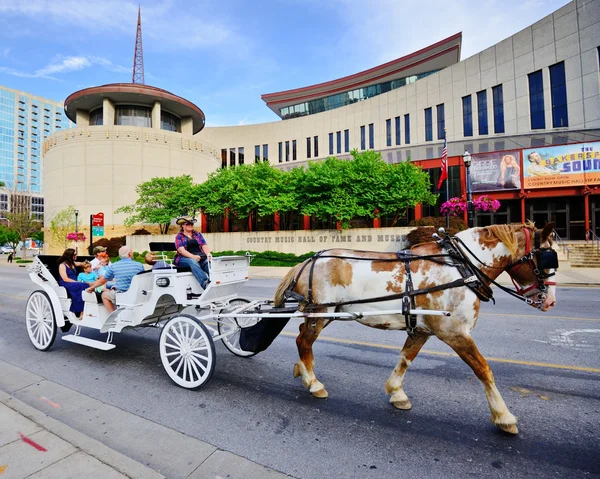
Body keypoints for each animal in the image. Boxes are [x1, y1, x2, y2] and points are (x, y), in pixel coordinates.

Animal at [274, 223, 556, 436]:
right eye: (546, 259)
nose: (550, 302)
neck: (461, 268)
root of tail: (305, 262)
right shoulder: (455, 333)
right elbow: (484, 370)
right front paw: (504, 416)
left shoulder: (422, 330)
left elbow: (406, 359)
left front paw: (396, 392)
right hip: (321, 312)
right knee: (303, 341)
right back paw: (313, 383)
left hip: (326, 313)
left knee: (302, 337)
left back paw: (302, 369)